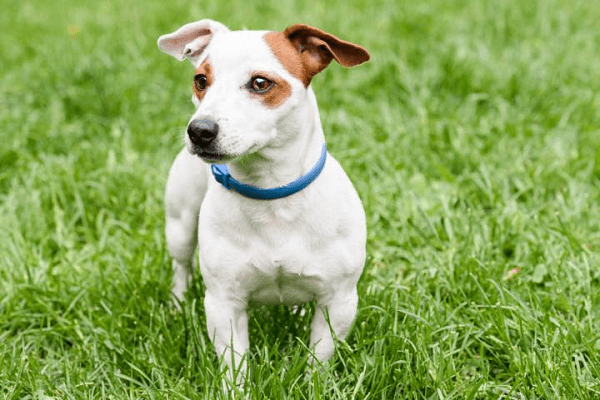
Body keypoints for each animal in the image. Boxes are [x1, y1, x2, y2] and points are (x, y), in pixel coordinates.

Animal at [157, 19, 368, 376]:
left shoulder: (338, 302)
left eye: (259, 83)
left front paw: (312, 381)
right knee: (181, 265)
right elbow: (234, 363)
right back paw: (176, 303)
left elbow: (318, 359)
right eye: (201, 80)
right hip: (180, 225)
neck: (270, 192)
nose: (199, 130)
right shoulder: (224, 304)